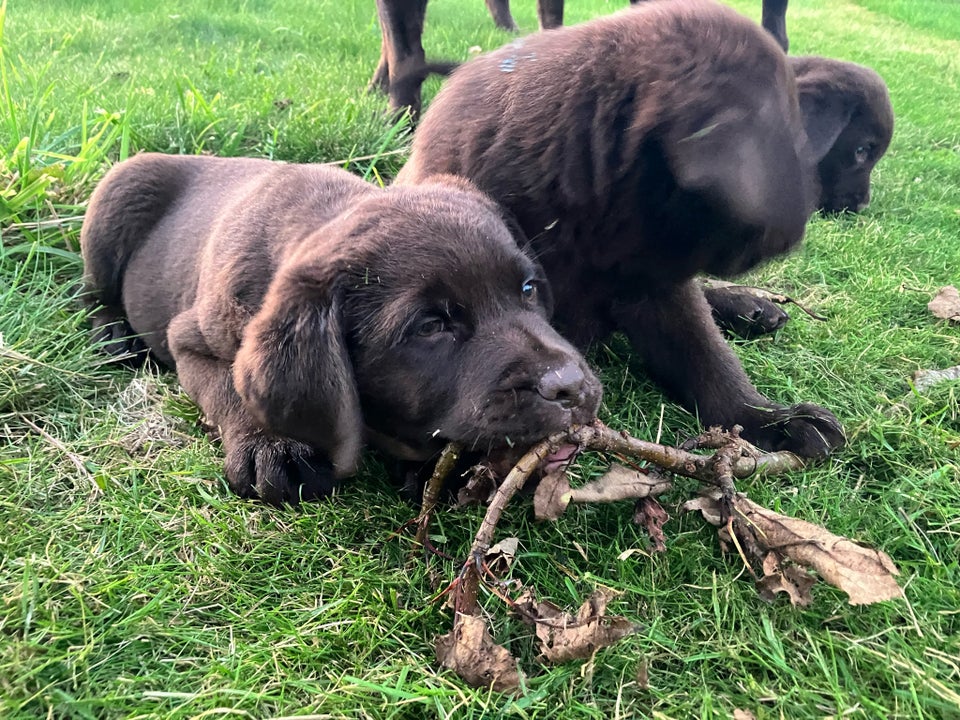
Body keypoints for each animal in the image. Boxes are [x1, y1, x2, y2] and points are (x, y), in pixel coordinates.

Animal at [82, 153, 600, 500]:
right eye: (430, 327)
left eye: (528, 289)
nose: (572, 388)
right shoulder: (188, 340)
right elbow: (227, 387)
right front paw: (271, 445)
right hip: (114, 201)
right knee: (91, 292)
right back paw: (110, 334)